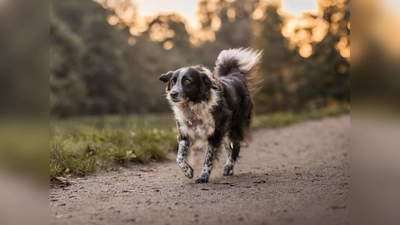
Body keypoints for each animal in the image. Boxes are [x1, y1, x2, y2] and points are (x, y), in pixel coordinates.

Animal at [159, 47, 262, 183]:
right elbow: (179, 158)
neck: (194, 106)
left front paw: (203, 176)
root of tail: (234, 75)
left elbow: (208, 158)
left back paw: (229, 165)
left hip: (235, 127)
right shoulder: (185, 133)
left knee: (236, 146)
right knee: (229, 147)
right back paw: (229, 168)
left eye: (187, 81)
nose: (172, 94)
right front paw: (188, 172)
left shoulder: (215, 134)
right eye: (172, 81)